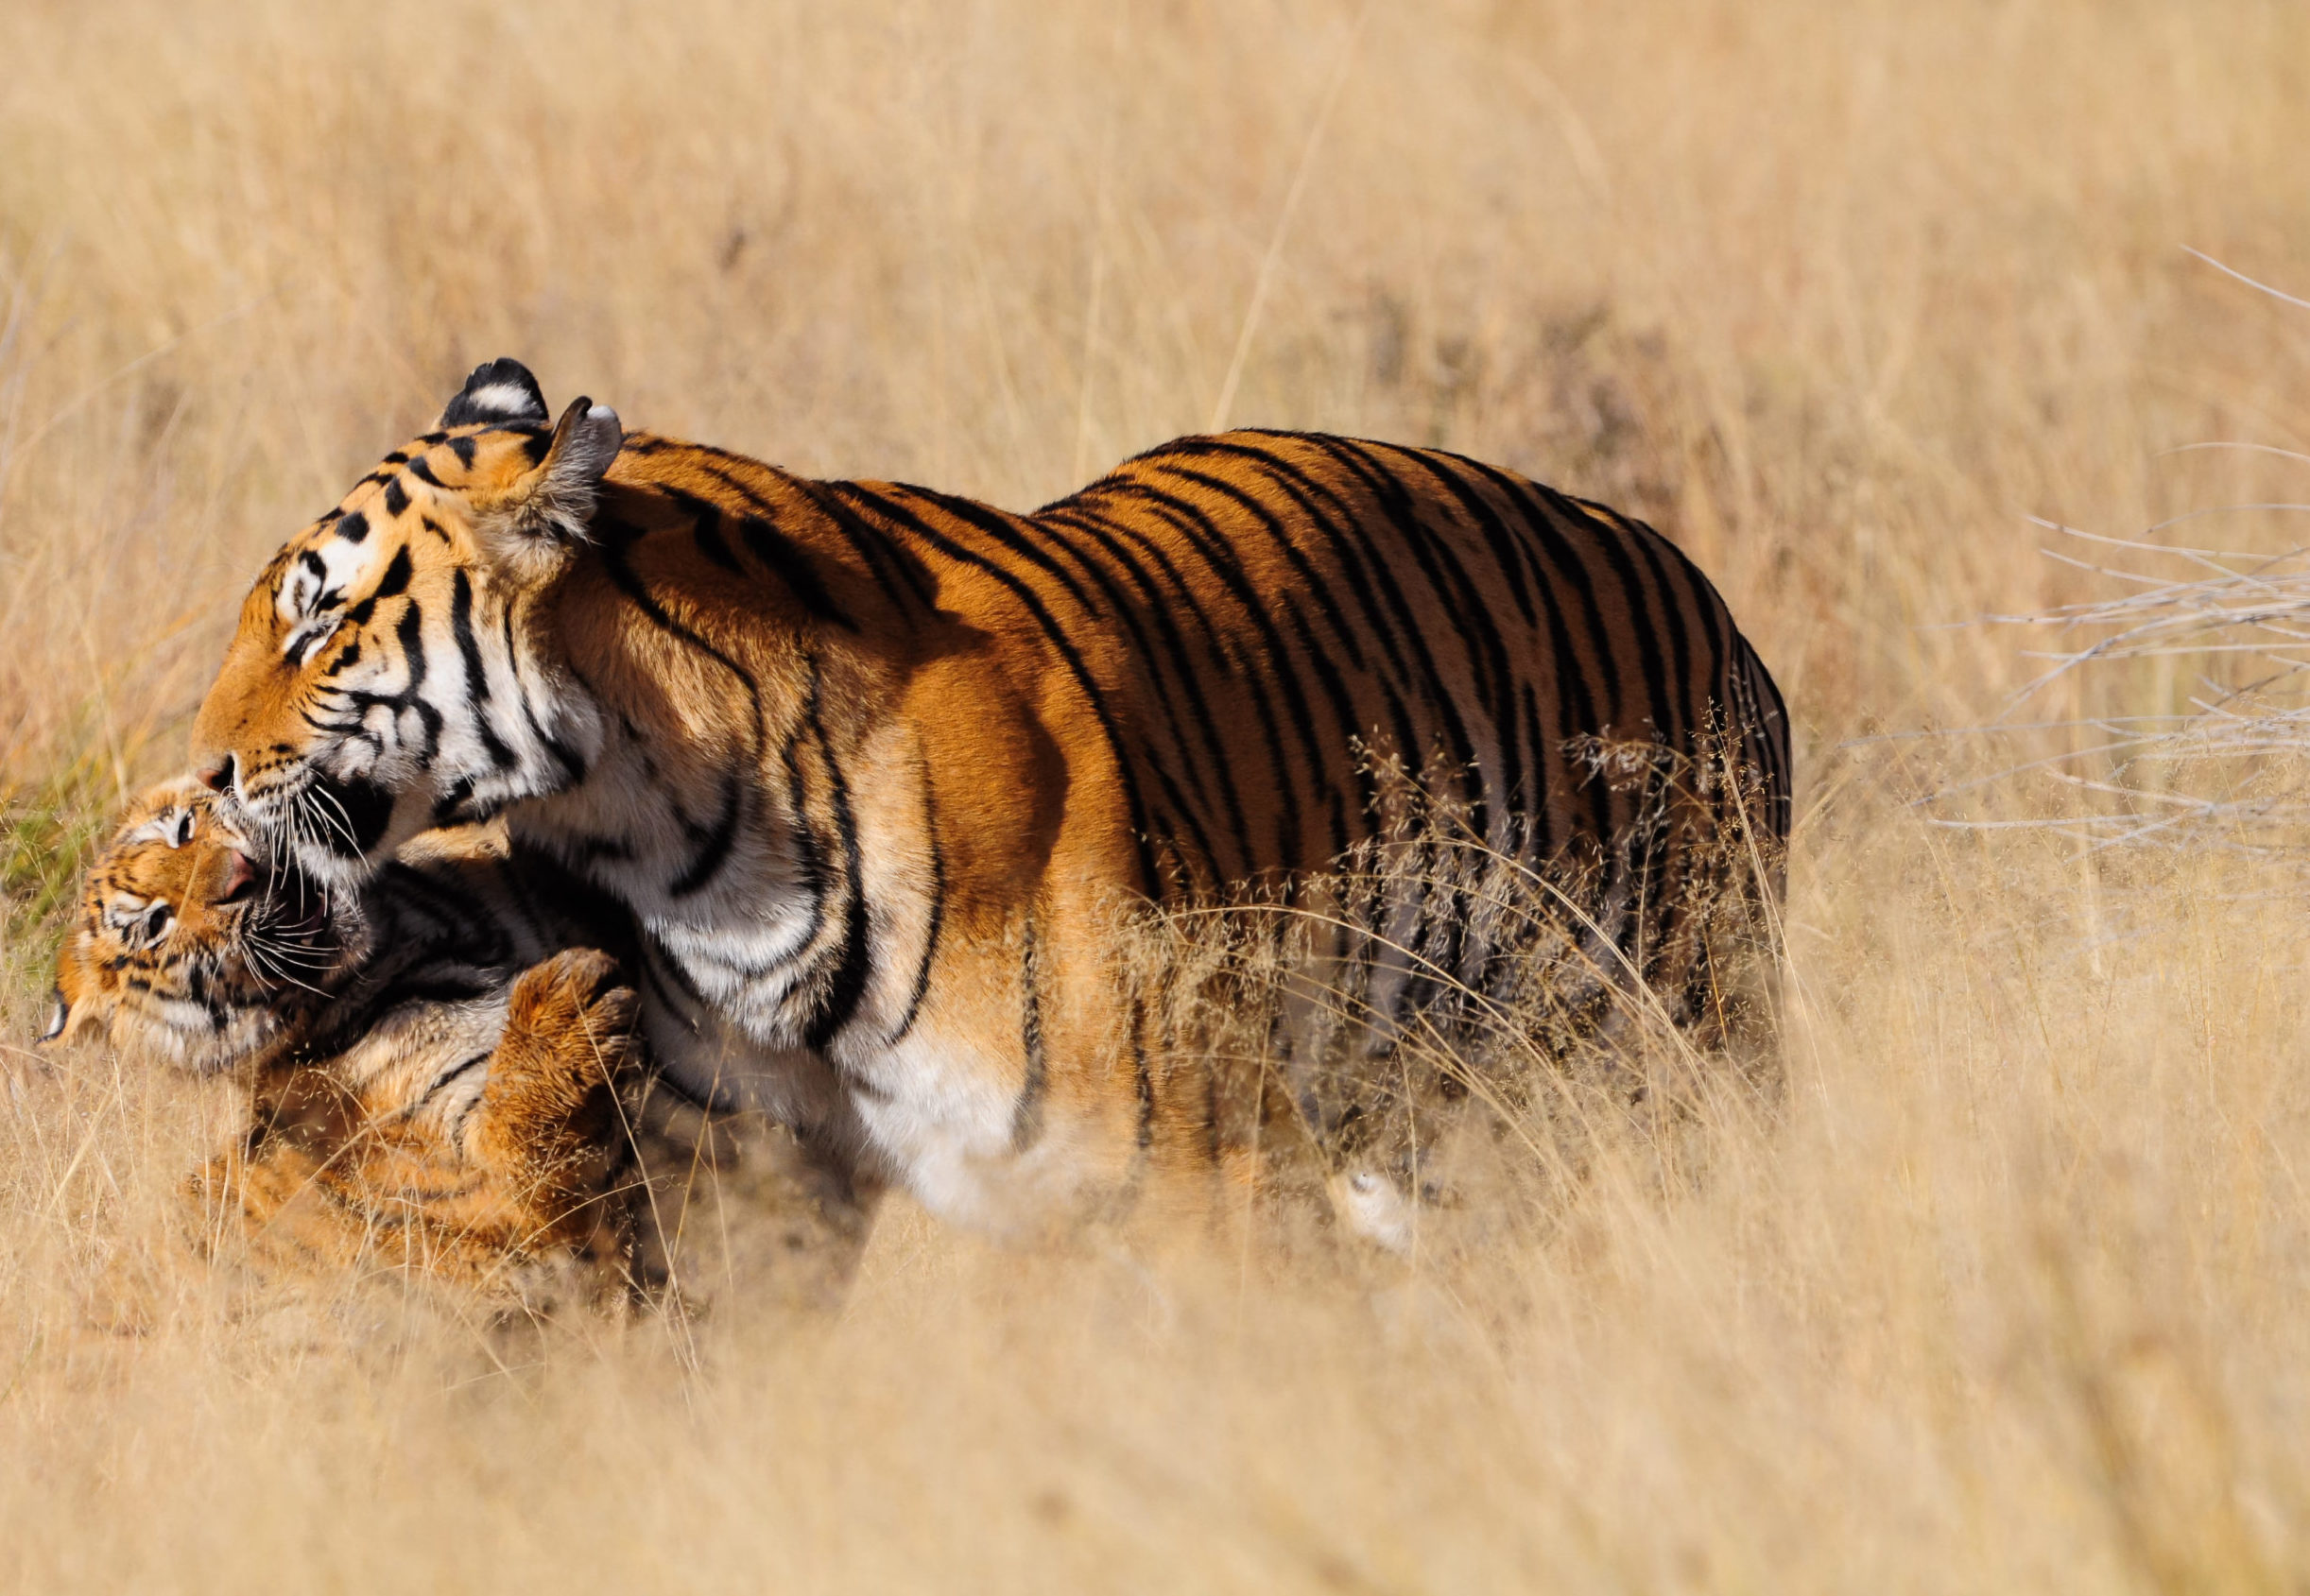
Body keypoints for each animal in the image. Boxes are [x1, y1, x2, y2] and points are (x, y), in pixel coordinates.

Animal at [40, 776, 650, 1303]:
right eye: (155, 925)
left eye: (184, 829)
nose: (238, 876)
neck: (408, 941)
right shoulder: (491, 1196)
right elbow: (522, 1137)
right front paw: (566, 1001)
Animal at [187, 357, 1792, 1242]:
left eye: (317, 625)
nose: (202, 765)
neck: (679, 853)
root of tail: (1717, 609)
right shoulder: (741, 1176)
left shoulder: (1199, 1173)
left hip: (1673, 1047)